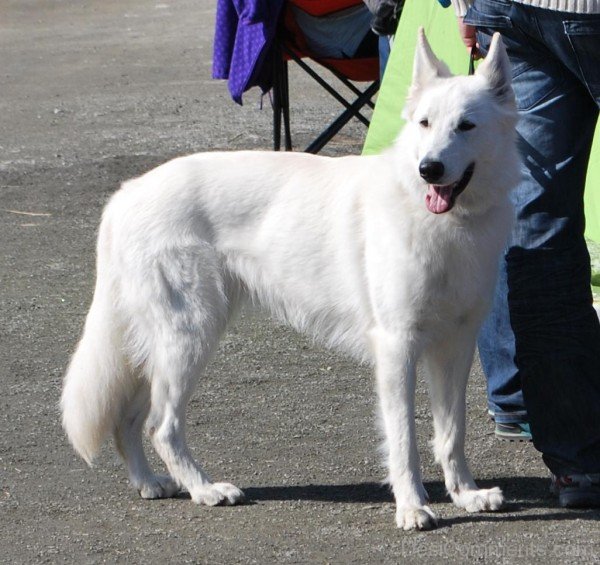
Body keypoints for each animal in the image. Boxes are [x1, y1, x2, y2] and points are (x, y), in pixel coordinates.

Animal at [62, 32, 520, 528]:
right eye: (425, 123)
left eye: (466, 126)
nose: (429, 169)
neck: (436, 217)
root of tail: (125, 195)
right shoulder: (398, 347)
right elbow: (404, 441)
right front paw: (412, 506)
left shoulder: (454, 347)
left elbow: (451, 434)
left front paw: (466, 495)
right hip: (190, 338)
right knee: (161, 426)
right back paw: (205, 489)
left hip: (165, 345)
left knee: (127, 420)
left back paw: (151, 484)